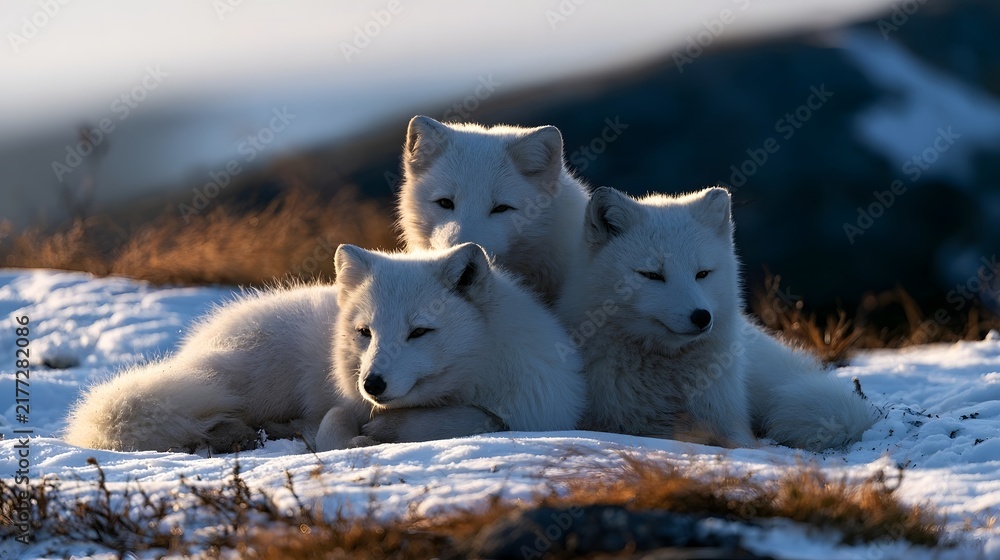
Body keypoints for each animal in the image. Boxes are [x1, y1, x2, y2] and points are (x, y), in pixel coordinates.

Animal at [64, 244, 585, 453]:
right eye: (365, 332)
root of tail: (194, 346)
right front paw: (353, 436)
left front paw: (382, 432)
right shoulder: (345, 401)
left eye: (419, 332)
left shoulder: (531, 410)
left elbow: (478, 420)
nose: (372, 383)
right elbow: (335, 426)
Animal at [556, 186, 876, 451]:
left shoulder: (731, 426)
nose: (701, 317)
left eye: (702, 273)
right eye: (651, 275)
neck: (667, 379)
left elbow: (740, 443)